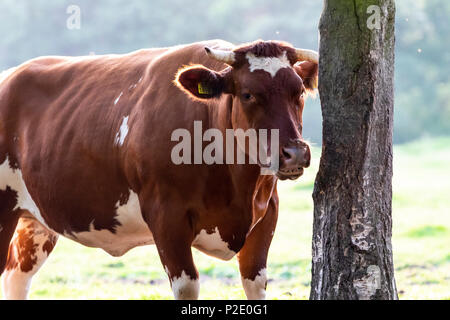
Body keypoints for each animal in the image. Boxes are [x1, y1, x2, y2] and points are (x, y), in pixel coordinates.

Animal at [0, 40, 316, 300]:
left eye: (299, 92)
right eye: (248, 94)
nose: (295, 153)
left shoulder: (267, 214)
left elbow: (255, 284)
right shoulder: (166, 217)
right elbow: (187, 287)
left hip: (35, 222)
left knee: (17, 278)